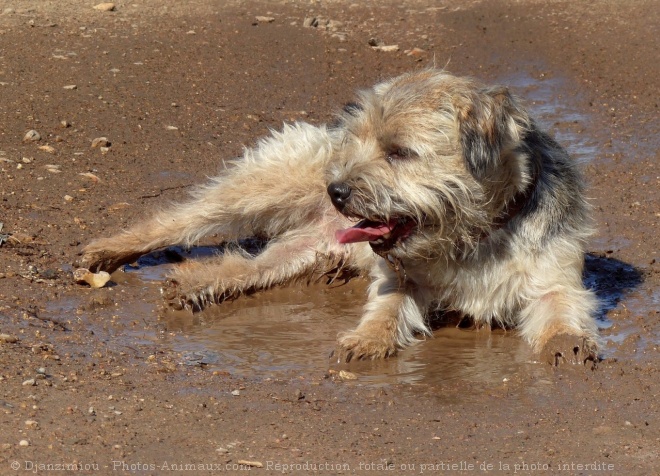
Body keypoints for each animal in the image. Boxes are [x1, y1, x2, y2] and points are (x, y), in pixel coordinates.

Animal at [80, 70, 600, 366]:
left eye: (399, 152)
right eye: (363, 141)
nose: (337, 191)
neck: (473, 237)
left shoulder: (556, 278)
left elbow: (560, 307)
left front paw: (565, 342)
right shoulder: (399, 278)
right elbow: (388, 308)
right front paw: (366, 340)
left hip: (300, 252)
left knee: (246, 266)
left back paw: (193, 282)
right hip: (259, 187)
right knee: (179, 216)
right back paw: (110, 250)